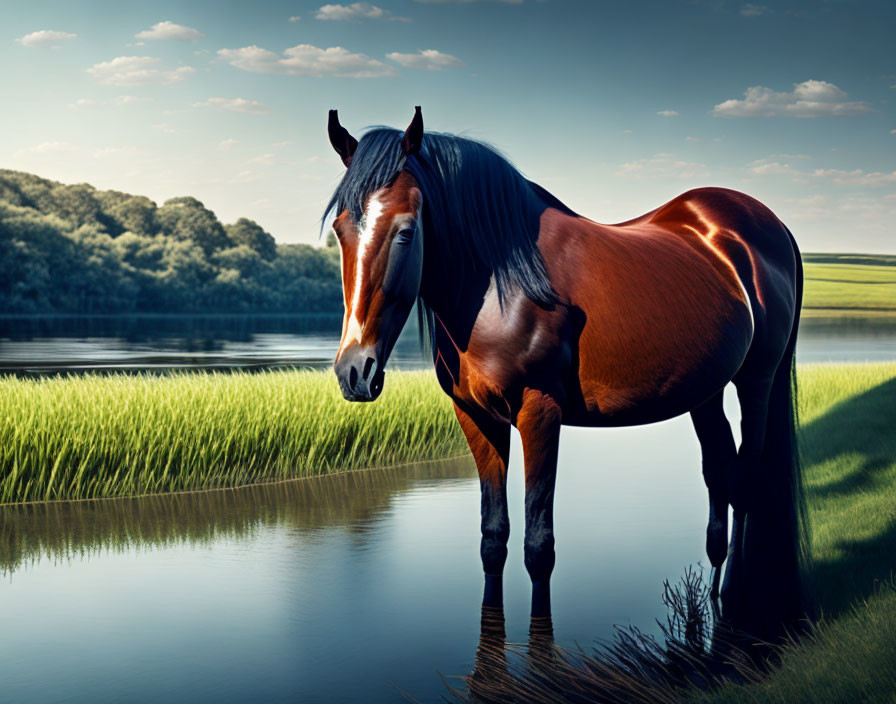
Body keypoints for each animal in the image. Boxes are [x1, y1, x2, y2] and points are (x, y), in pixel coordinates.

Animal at [326, 107, 808, 640]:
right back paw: (712, 596)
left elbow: (539, 548)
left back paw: (739, 601)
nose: (355, 370)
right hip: (705, 390)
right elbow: (493, 540)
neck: (502, 284)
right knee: (718, 473)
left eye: (407, 231)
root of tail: (768, 225)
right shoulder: (476, 417)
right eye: (341, 231)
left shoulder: (540, 413)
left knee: (745, 480)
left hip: (756, 381)